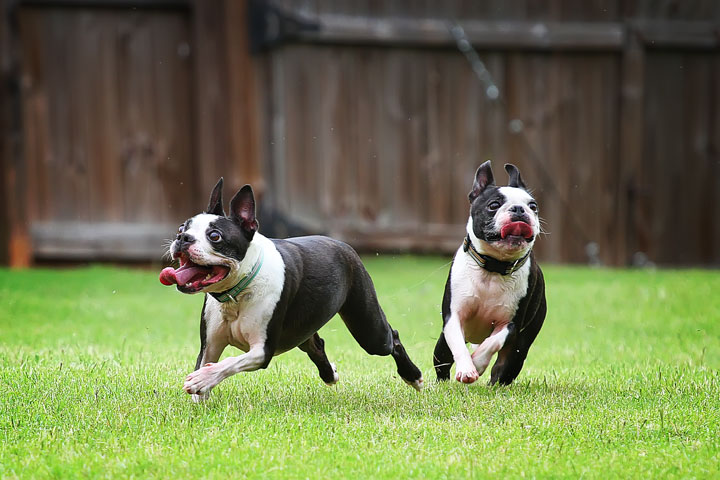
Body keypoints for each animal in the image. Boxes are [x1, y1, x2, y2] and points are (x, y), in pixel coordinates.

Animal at [160, 178, 424, 400]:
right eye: (181, 228)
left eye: (214, 236)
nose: (182, 238)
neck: (237, 293)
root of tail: (341, 244)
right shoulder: (210, 346)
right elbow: (206, 376)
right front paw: (201, 389)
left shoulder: (261, 351)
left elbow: (230, 363)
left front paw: (203, 378)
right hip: (302, 328)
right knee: (316, 345)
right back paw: (330, 374)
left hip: (368, 330)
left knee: (392, 339)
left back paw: (414, 377)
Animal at [434, 161, 544, 386]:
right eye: (493, 205)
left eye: (533, 206)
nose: (519, 209)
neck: (494, 267)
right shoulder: (453, 317)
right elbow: (458, 345)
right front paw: (467, 369)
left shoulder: (510, 325)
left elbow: (493, 343)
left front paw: (476, 364)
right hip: (441, 347)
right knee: (443, 363)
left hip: (518, 351)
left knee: (502, 369)